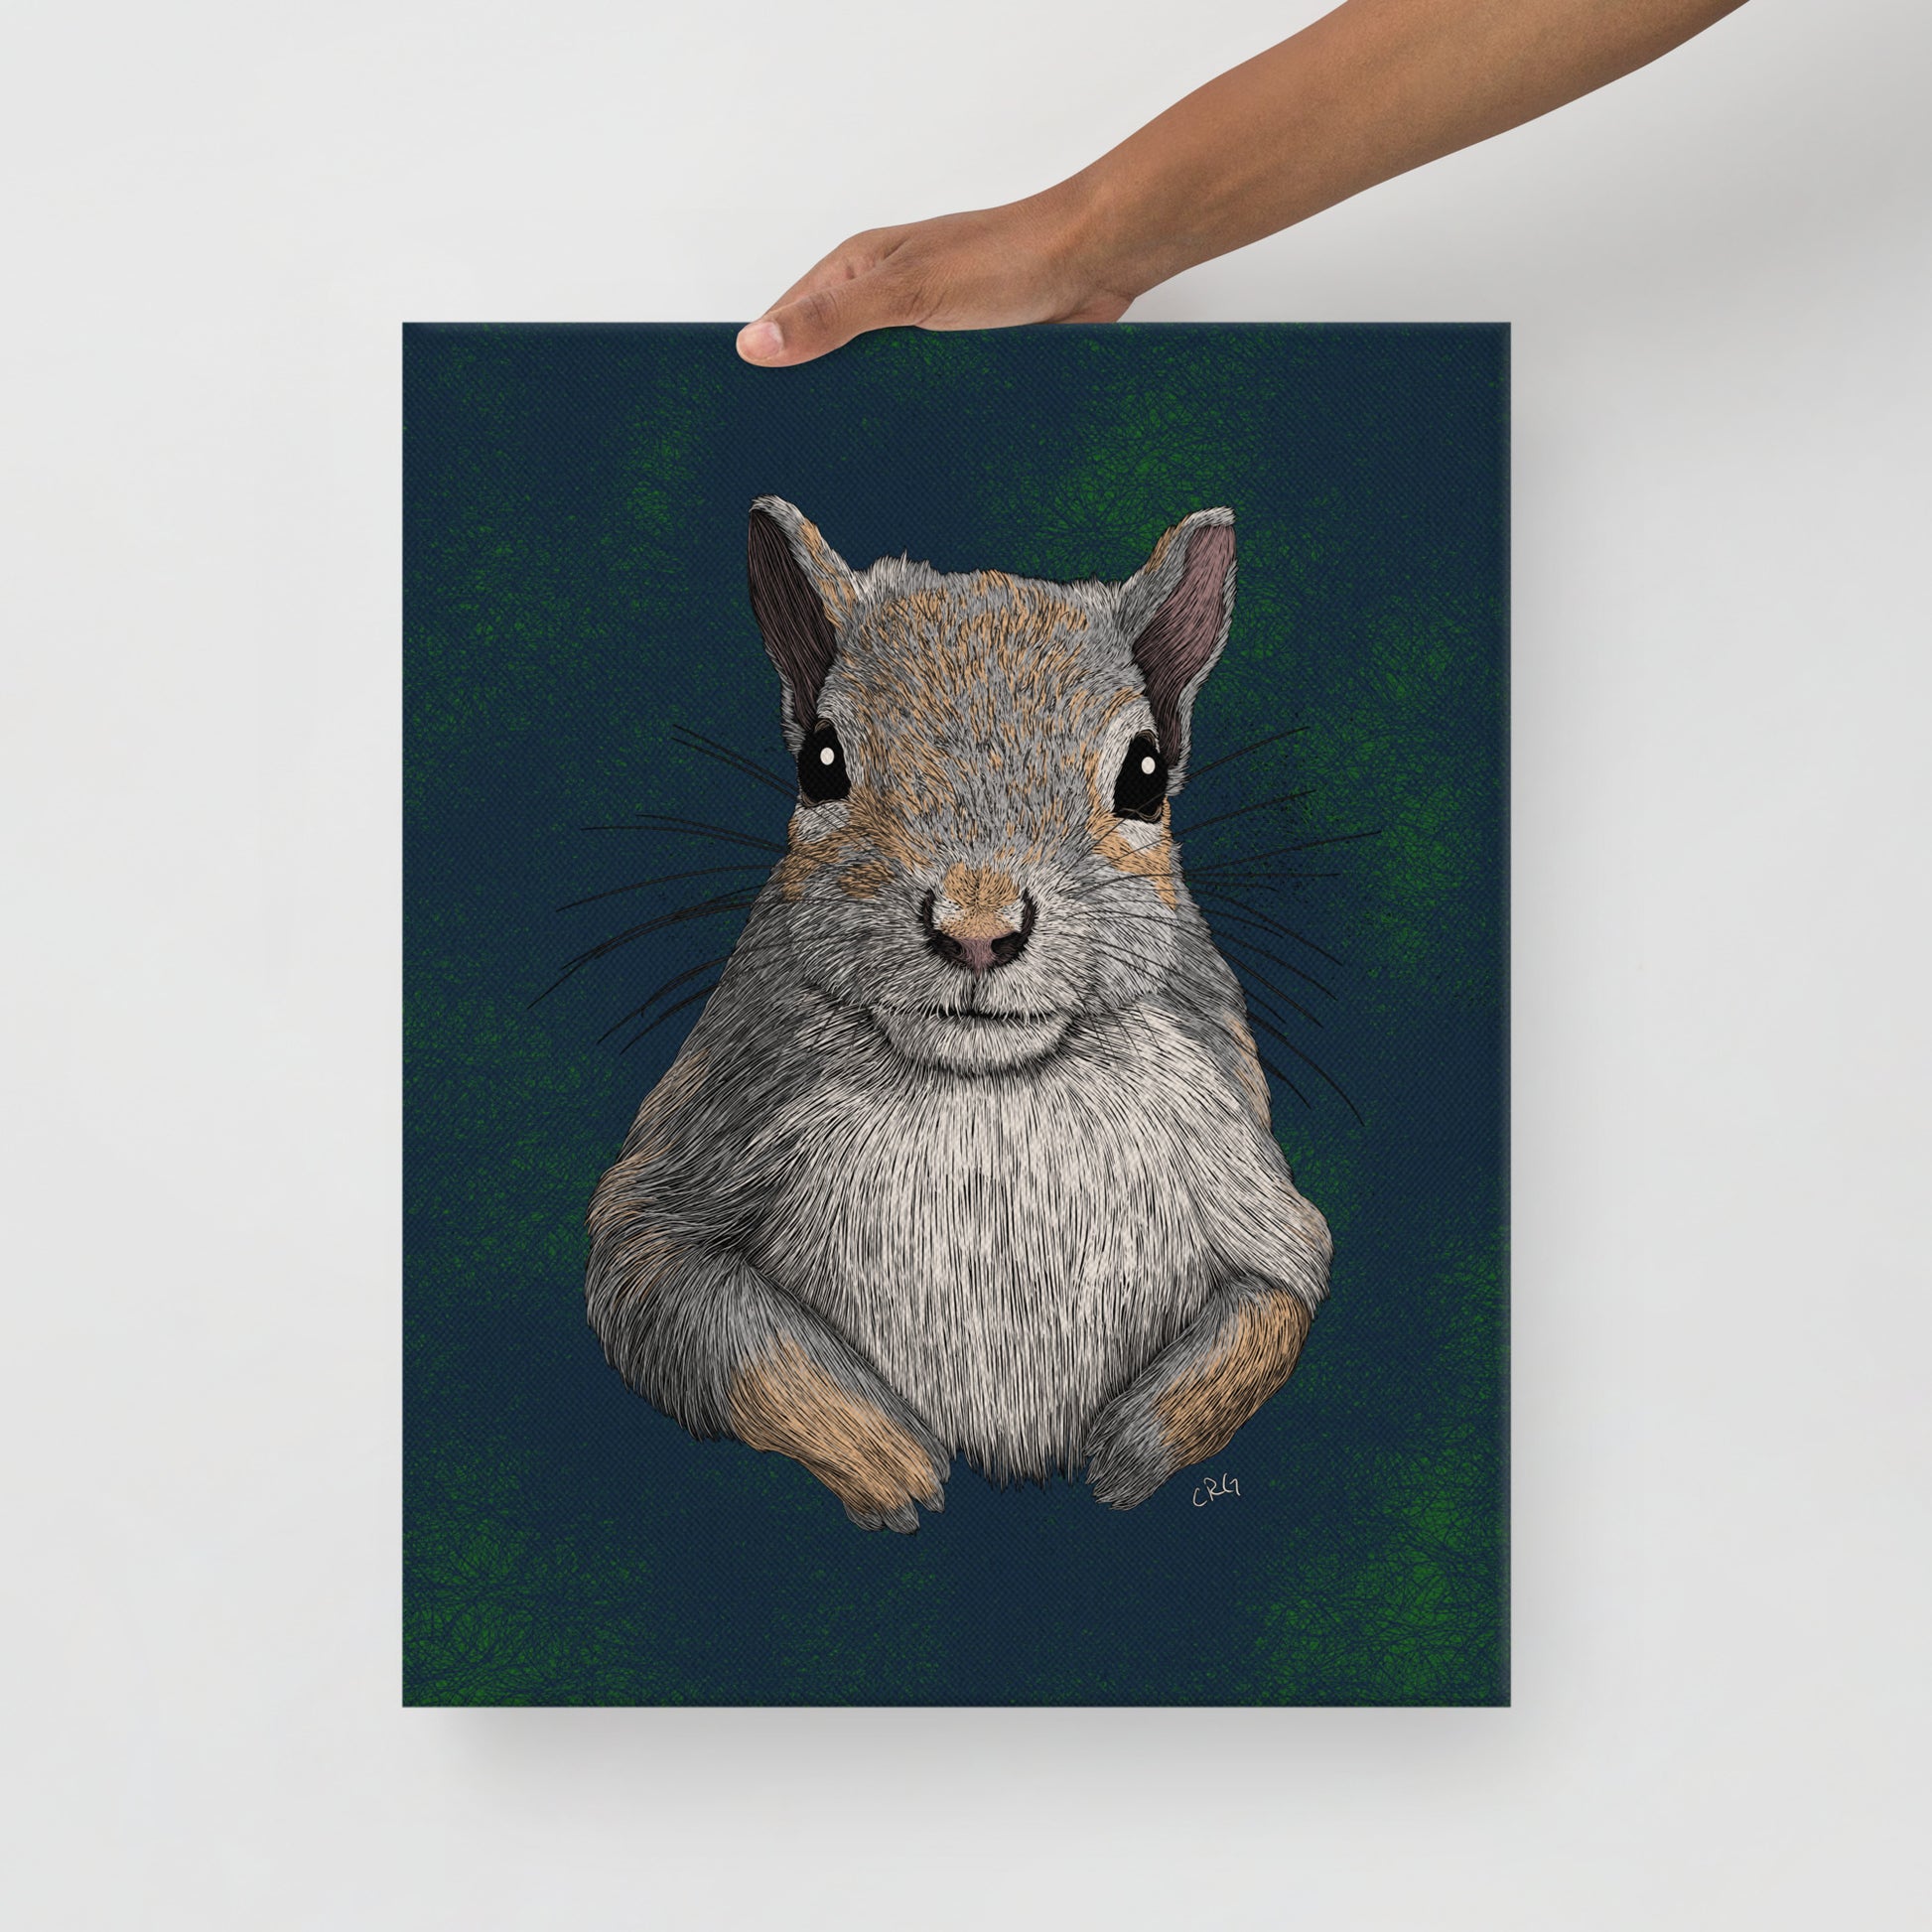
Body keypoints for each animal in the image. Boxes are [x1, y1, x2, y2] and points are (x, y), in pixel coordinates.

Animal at [585, 497, 1332, 1531]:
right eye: (821, 762)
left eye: (1145, 776)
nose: (978, 930)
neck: (986, 1085)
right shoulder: (700, 1146)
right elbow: (695, 1313)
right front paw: (890, 1462)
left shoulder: (1243, 1168)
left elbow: (1273, 1302)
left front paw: (1124, 1455)